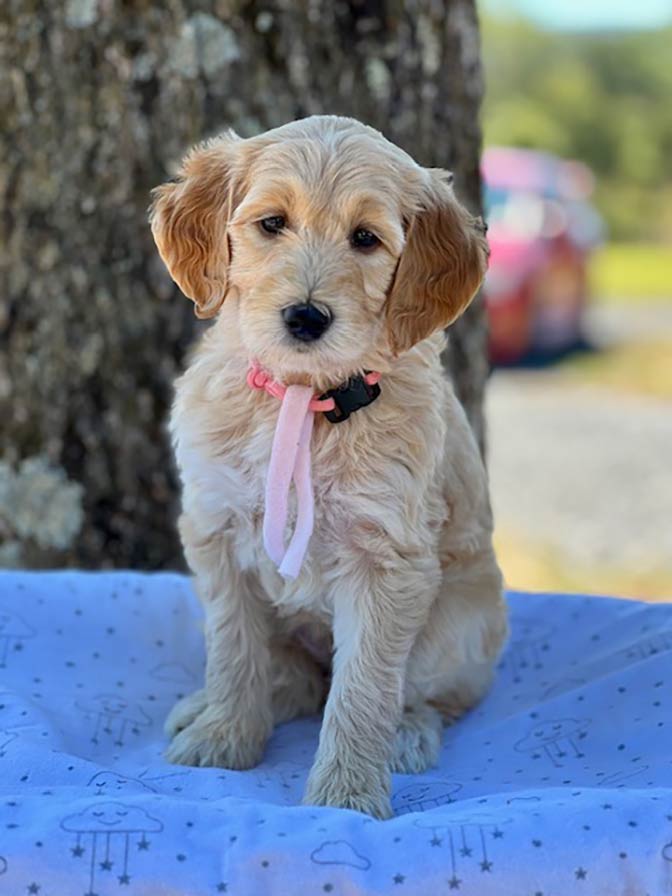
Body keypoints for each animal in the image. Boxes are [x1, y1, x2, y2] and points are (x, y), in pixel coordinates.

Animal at [152, 114, 506, 820]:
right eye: (272, 224)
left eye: (365, 238)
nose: (306, 317)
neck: (303, 397)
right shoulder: (217, 532)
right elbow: (232, 650)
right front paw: (222, 740)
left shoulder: (387, 563)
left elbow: (362, 688)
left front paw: (345, 797)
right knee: (290, 675)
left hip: (456, 626)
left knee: (424, 694)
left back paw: (407, 734)